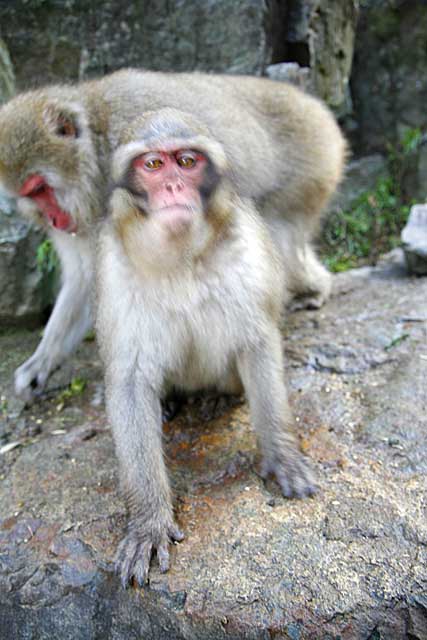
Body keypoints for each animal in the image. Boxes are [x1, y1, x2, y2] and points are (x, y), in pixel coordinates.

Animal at [0, 70, 346, 400]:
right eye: (30, 195)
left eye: (40, 188)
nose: (53, 220)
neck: (95, 155)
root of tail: (314, 105)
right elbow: (90, 278)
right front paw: (40, 364)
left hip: (309, 173)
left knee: (279, 243)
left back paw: (314, 288)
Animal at [96, 110, 318, 584]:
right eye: (153, 165)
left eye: (186, 160)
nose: (173, 187)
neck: (180, 256)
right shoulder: (114, 266)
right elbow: (128, 379)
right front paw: (148, 521)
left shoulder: (246, 247)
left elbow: (256, 342)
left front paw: (283, 455)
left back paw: (217, 397)